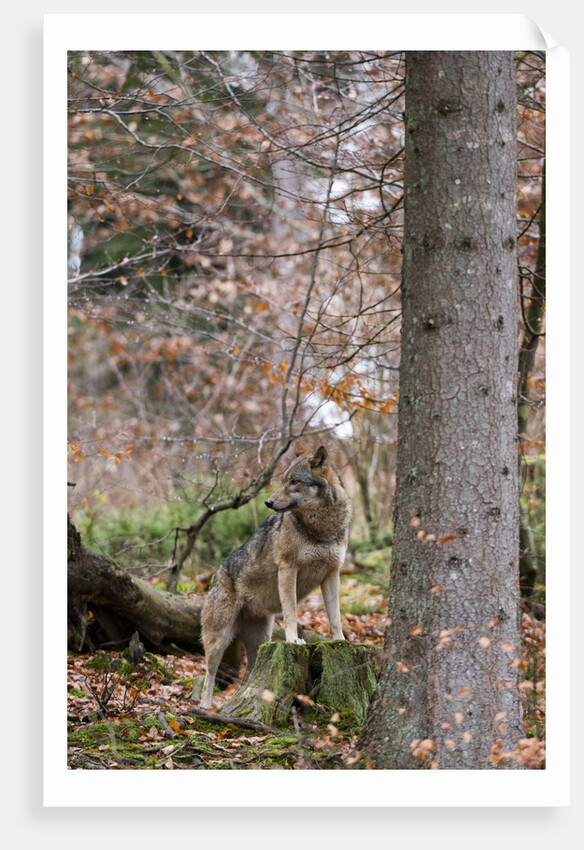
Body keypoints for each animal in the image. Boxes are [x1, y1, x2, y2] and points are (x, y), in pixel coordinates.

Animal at [199, 444, 351, 709]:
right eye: (282, 481)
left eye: (294, 481)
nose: (268, 502)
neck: (321, 527)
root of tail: (216, 575)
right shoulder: (288, 568)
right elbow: (291, 612)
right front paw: (293, 641)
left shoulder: (332, 573)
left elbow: (335, 617)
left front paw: (339, 641)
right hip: (219, 640)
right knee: (209, 673)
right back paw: (205, 708)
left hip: (260, 641)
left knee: (248, 675)